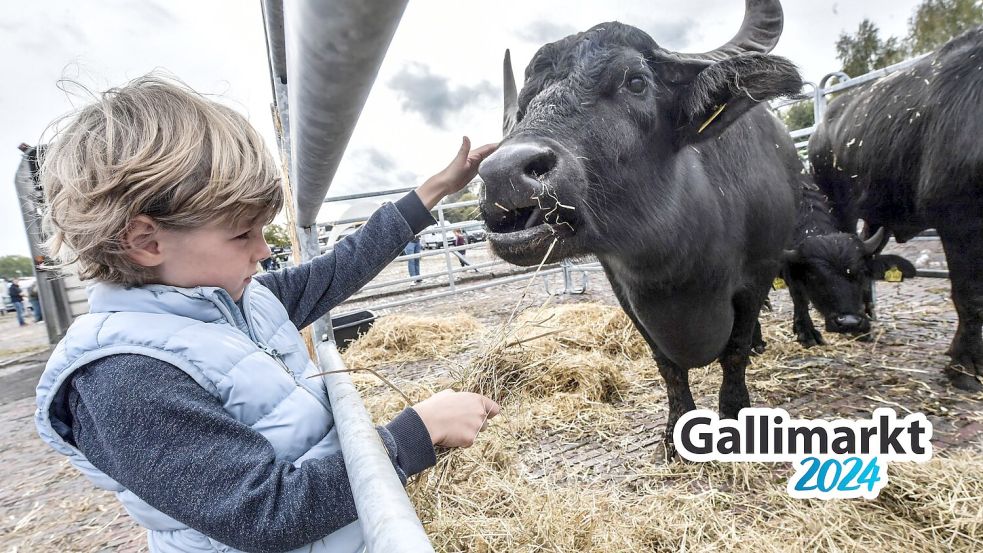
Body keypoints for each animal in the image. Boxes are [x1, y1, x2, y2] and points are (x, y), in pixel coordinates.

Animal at [478, 0, 808, 450]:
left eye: (635, 82)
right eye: (527, 104)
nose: (502, 174)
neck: (677, 264)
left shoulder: (758, 273)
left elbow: (734, 351)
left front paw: (734, 415)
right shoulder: (628, 295)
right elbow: (667, 364)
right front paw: (675, 431)